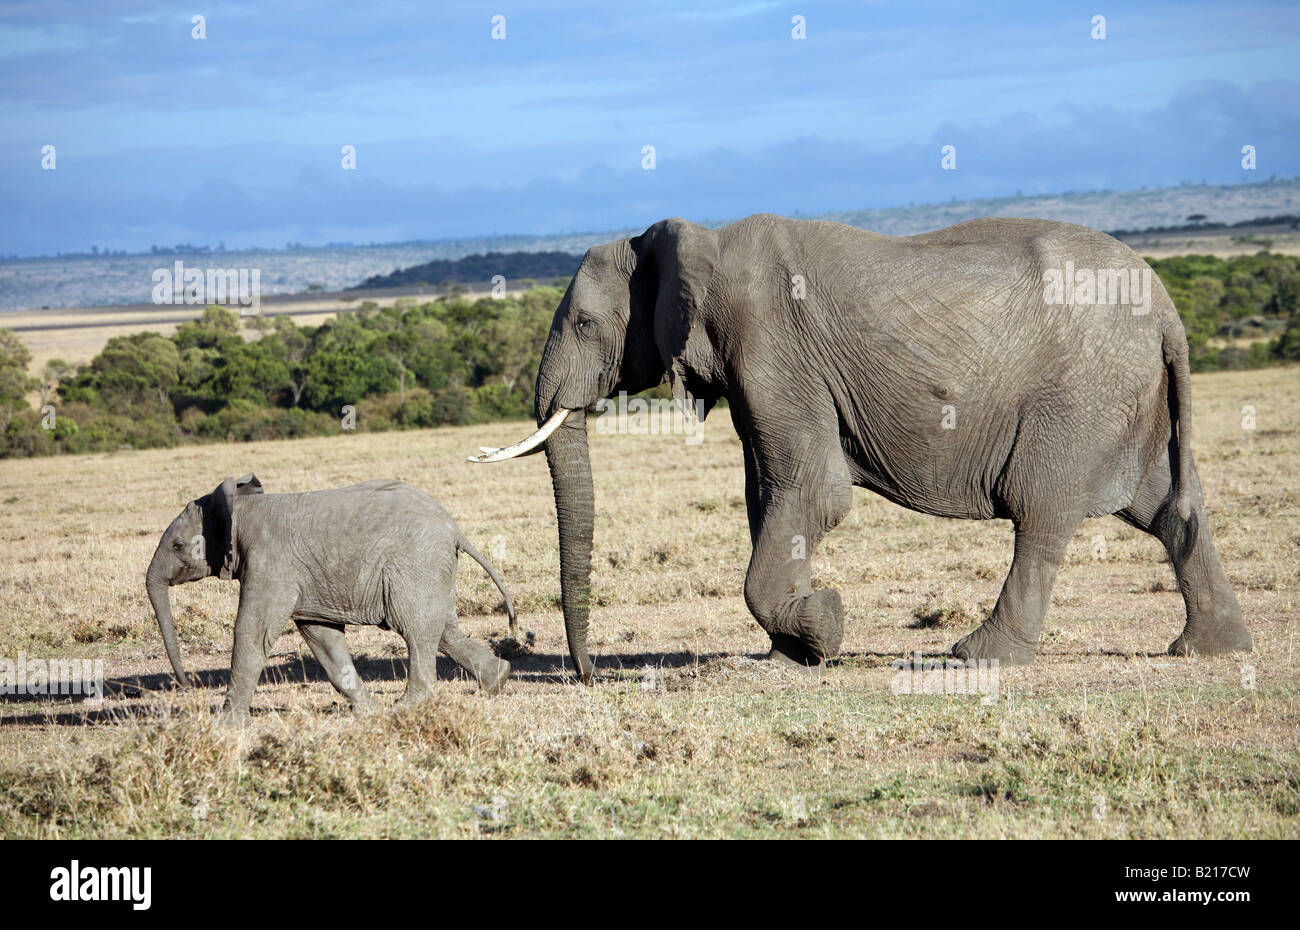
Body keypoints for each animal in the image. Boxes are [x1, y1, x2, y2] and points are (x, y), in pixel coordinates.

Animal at [148, 473, 517, 717]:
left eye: (177, 546)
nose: (186, 685)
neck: (241, 506)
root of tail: (454, 528)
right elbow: (323, 639)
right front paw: (369, 712)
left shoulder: (269, 563)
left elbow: (252, 633)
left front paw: (226, 724)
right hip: (428, 568)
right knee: (442, 628)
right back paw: (496, 679)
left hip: (414, 562)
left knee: (415, 630)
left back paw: (409, 706)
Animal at [473, 213, 1253, 681]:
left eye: (583, 322)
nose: (585, 675)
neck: (701, 242)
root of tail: (1168, 310)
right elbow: (767, 496)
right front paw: (791, 653)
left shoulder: (768, 345)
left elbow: (812, 491)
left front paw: (825, 626)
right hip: (1129, 398)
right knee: (1168, 512)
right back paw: (1209, 649)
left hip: (1080, 394)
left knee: (1040, 512)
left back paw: (978, 656)